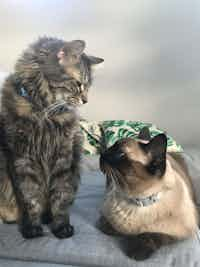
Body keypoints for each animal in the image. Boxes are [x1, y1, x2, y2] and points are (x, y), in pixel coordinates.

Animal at [98, 127, 198, 262]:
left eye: (120, 154)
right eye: (110, 148)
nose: (102, 154)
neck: (138, 200)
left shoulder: (181, 232)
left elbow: (150, 234)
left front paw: (136, 251)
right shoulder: (104, 218)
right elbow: (111, 228)